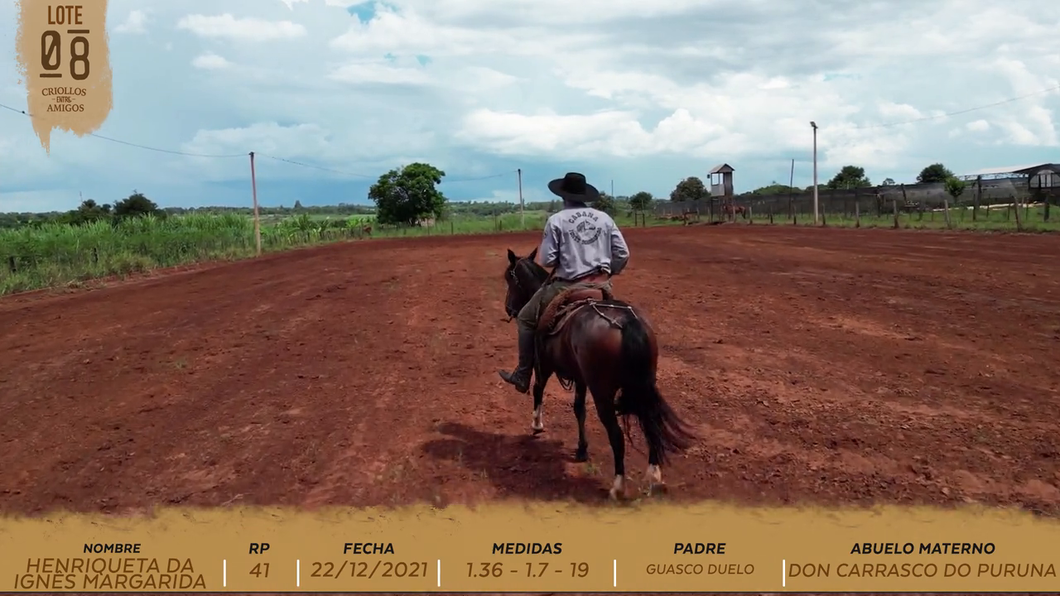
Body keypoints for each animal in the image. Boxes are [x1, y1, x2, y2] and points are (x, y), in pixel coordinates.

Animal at [502, 248, 699, 498]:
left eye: (510, 279)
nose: (509, 308)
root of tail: (628, 324)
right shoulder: (580, 377)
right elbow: (579, 409)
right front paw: (581, 449)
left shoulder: (543, 365)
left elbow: (538, 390)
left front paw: (537, 424)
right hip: (643, 386)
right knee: (651, 422)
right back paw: (653, 475)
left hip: (602, 392)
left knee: (616, 435)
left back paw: (618, 487)